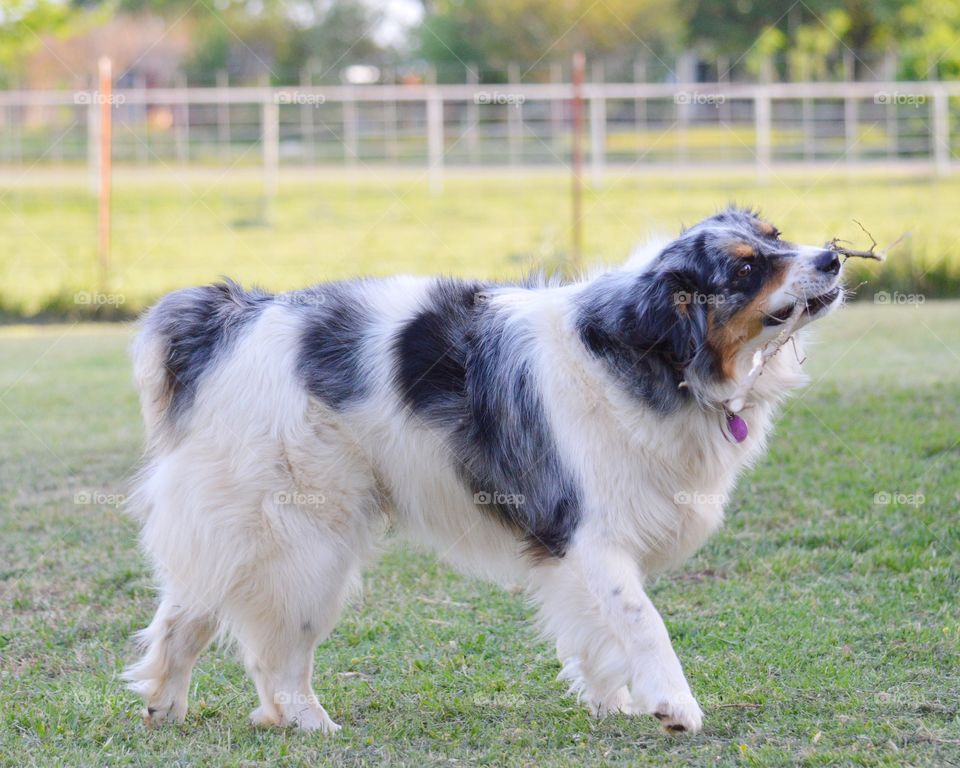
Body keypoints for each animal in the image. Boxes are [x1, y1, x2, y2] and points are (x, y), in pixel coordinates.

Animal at [125, 207, 840, 736]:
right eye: (746, 268)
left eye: (777, 236)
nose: (832, 256)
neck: (645, 355)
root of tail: (234, 318)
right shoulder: (588, 530)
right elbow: (642, 619)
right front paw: (673, 705)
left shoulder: (570, 551)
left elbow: (595, 631)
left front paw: (611, 701)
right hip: (304, 539)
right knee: (275, 649)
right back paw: (305, 719)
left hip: (243, 531)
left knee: (187, 611)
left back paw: (166, 704)